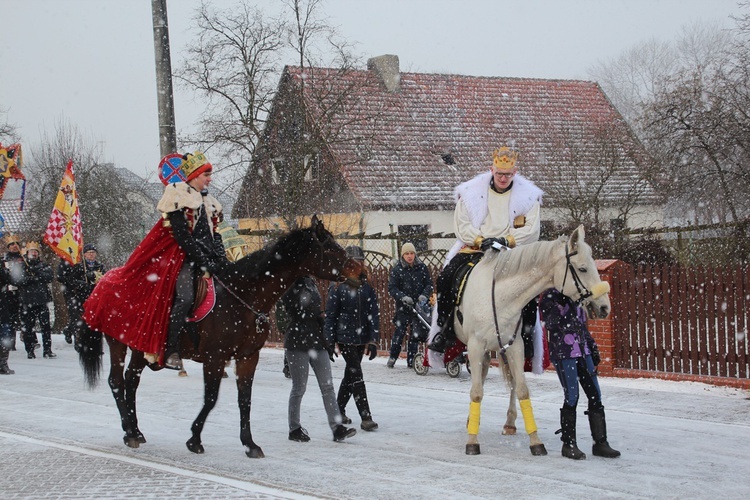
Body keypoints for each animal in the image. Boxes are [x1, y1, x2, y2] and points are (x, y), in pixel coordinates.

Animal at [79, 215, 364, 458]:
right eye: (331, 248)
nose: (360, 274)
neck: (243, 296)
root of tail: (103, 280)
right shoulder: (214, 358)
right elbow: (211, 398)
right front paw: (195, 439)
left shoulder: (248, 357)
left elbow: (244, 399)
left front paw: (250, 444)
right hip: (119, 343)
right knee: (118, 381)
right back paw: (129, 432)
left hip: (140, 347)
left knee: (131, 381)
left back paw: (136, 430)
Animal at [458, 227, 612, 458]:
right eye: (583, 268)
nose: (604, 307)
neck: (500, 297)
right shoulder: (475, 346)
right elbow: (476, 393)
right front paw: (472, 442)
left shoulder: (515, 346)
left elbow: (522, 389)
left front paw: (536, 442)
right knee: (480, 381)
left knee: (505, 381)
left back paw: (507, 423)